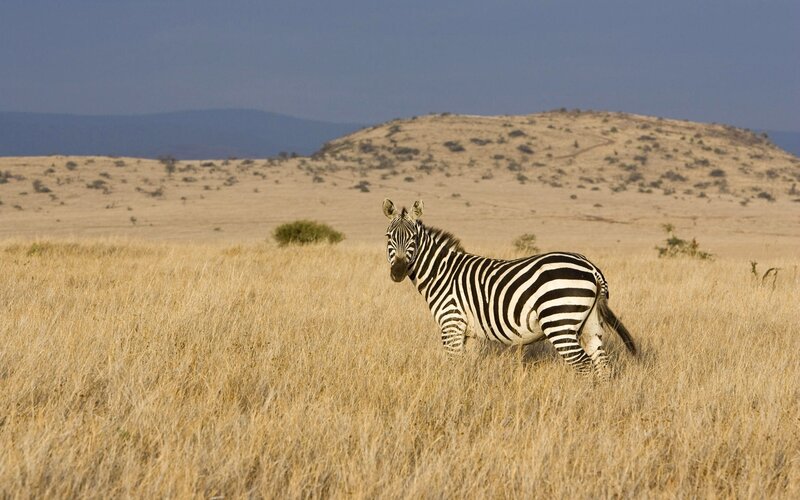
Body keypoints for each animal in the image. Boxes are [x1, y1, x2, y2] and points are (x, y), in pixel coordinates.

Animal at [382, 198, 636, 378]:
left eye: (413, 238)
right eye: (388, 236)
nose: (398, 272)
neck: (442, 272)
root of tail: (591, 267)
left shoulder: (451, 324)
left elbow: (454, 366)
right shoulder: (467, 332)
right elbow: (466, 366)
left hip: (559, 321)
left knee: (583, 365)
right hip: (590, 324)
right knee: (602, 364)